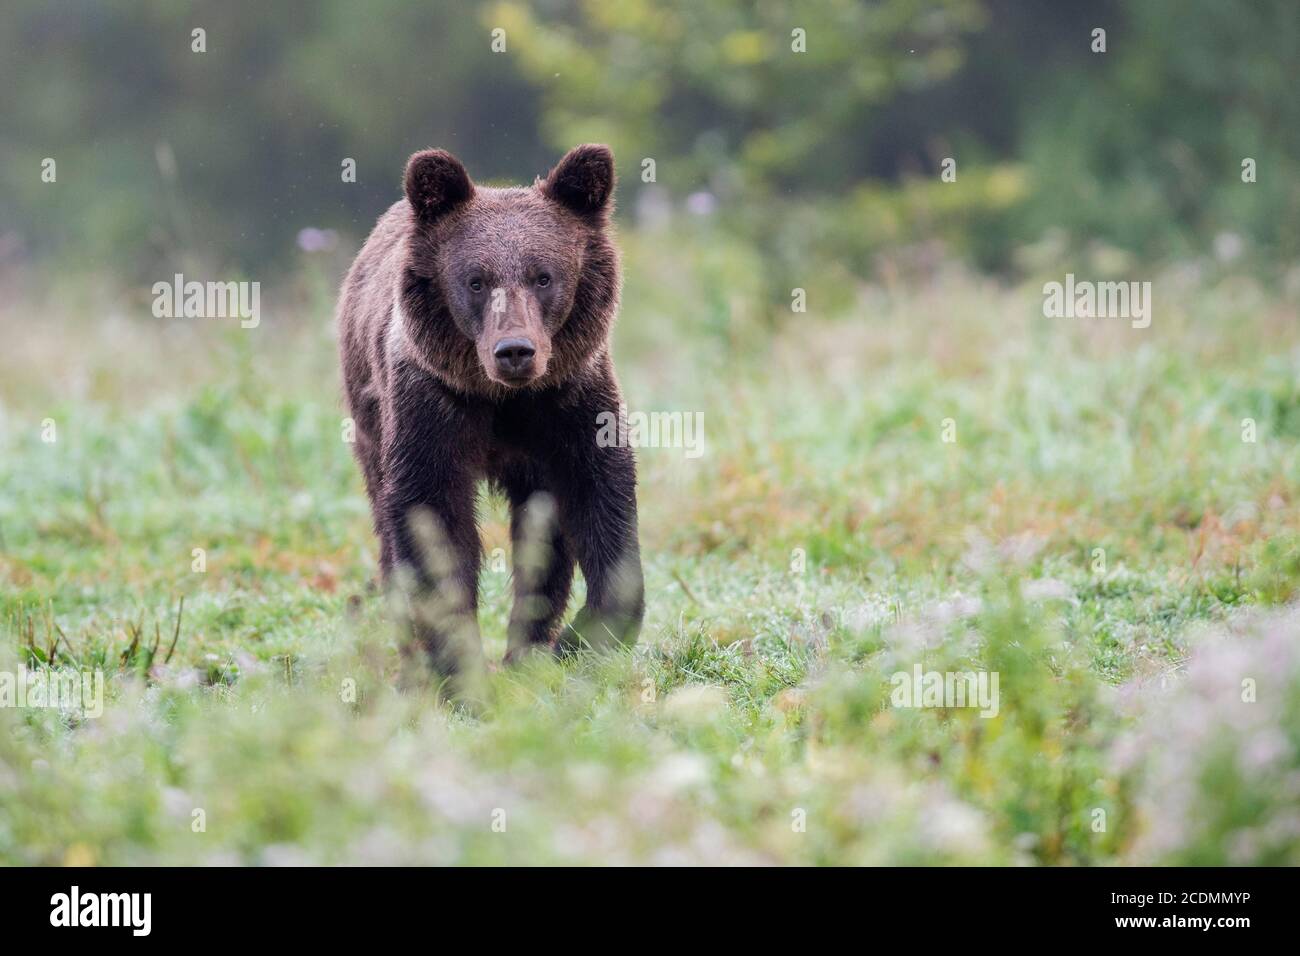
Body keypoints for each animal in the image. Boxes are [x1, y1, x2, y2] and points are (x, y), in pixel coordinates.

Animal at [336, 144, 645, 688]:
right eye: (476, 280)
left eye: (543, 276)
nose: (515, 350)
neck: (502, 400)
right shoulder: (431, 404)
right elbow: (432, 517)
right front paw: (457, 665)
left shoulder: (570, 402)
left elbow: (600, 496)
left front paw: (576, 642)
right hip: (369, 420)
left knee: (542, 535)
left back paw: (528, 648)